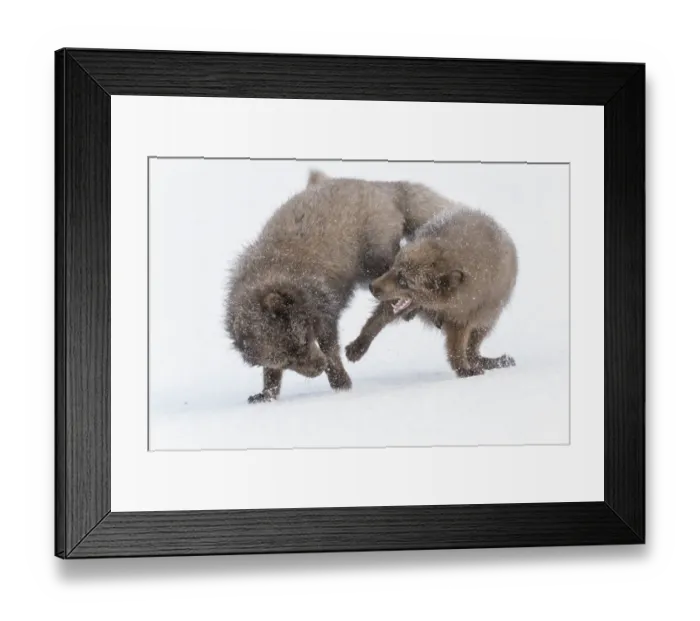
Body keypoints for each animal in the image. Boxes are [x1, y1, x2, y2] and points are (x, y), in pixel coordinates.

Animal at [225, 170, 454, 403]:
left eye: (303, 341)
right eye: (288, 362)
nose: (319, 367)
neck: (275, 275)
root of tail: (380, 187)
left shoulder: (325, 311)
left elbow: (330, 347)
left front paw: (340, 381)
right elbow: (271, 374)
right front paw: (267, 394)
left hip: (374, 263)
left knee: (395, 298)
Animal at [345, 207, 518, 377]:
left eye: (404, 281)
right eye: (394, 267)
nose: (372, 287)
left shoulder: (462, 318)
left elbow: (456, 348)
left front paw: (464, 369)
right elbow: (376, 320)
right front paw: (357, 346)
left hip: (488, 318)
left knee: (473, 349)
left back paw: (490, 361)